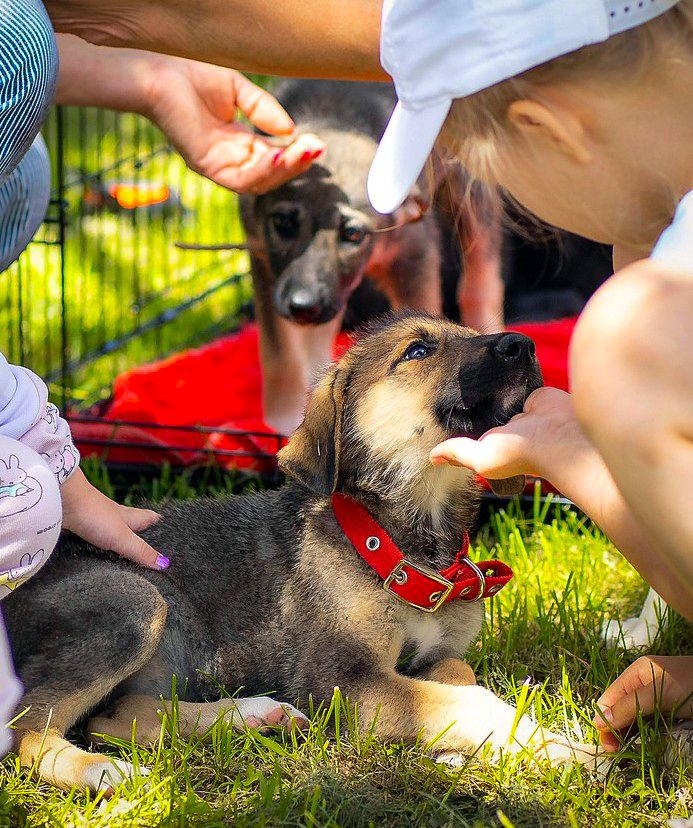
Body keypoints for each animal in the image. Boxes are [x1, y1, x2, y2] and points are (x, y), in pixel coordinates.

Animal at [2, 314, 600, 792]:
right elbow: (463, 701)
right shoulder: (338, 680)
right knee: (26, 729)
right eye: (417, 351)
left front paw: (469, 750)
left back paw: (254, 716)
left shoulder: (434, 656)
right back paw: (96, 770)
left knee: (113, 715)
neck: (402, 544)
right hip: (134, 600)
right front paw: (563, 747)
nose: (523, 345)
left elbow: (458, 677)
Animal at [241, 81, 500, 436]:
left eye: (353, 234)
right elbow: (281, 358)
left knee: (482, 271)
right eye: (282, 223)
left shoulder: (414, 257)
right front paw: (284, 419)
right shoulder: (265, 269)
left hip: (471, 189)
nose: (303, 306)